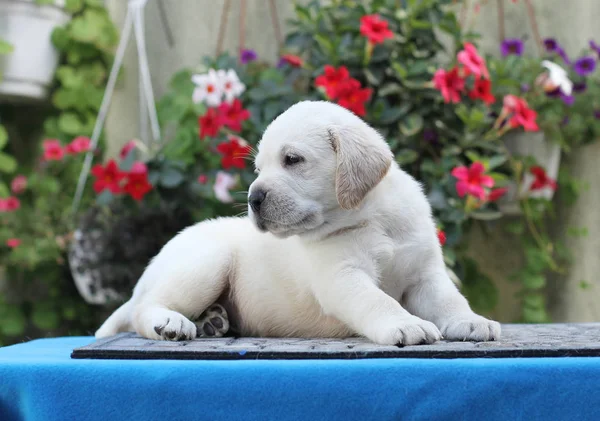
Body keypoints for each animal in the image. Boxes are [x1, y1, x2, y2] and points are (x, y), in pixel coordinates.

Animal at [96, 100, 502, 342]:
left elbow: (449, 299)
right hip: (206, 263)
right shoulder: (342, 277)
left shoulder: (425, 275)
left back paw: (213, 320)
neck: (373, 218)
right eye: (258, 170)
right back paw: (173, 323)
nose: (253, 198)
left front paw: (470, 320)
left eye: (292, 159)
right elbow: (378, 301)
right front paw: (406, 323)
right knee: (146, 309)